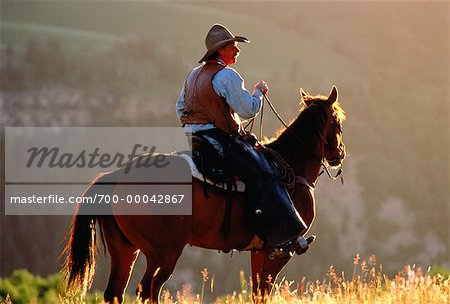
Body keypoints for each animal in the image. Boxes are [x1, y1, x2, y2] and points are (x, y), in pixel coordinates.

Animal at [62, 86, 344, 304]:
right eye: (339, 122)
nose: (339, 154)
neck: (293, 167)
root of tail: (117, 176)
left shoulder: (259, 251)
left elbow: (257, 293)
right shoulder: (280, 251)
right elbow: (264, 292)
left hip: (125, 249)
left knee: (116, 292)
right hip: (163, 252)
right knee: (148, 289)